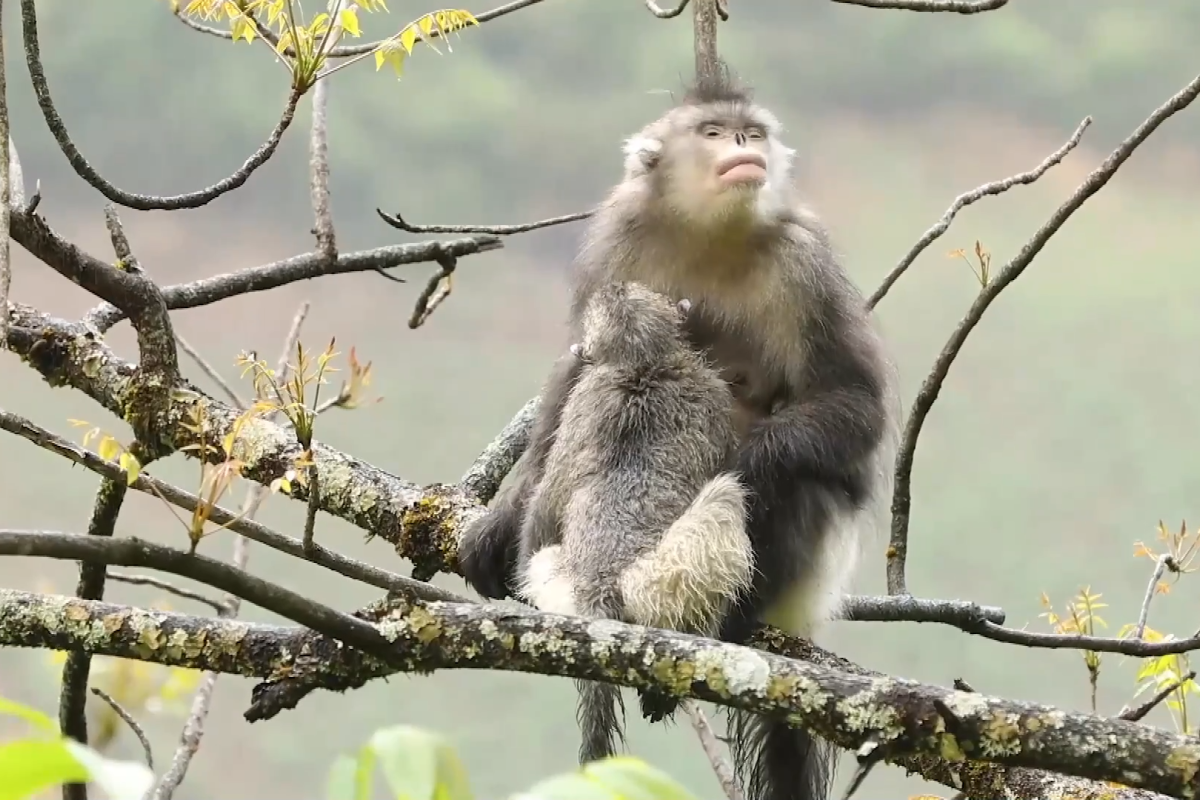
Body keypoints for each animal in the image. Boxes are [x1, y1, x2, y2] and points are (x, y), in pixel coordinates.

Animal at [511, 278, 753, 767]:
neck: (643, 363)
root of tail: (601, 584)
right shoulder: (712, 396)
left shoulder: (584, 399)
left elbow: (548, 496)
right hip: (666, 578)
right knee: (725, 497)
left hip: (558, 582)